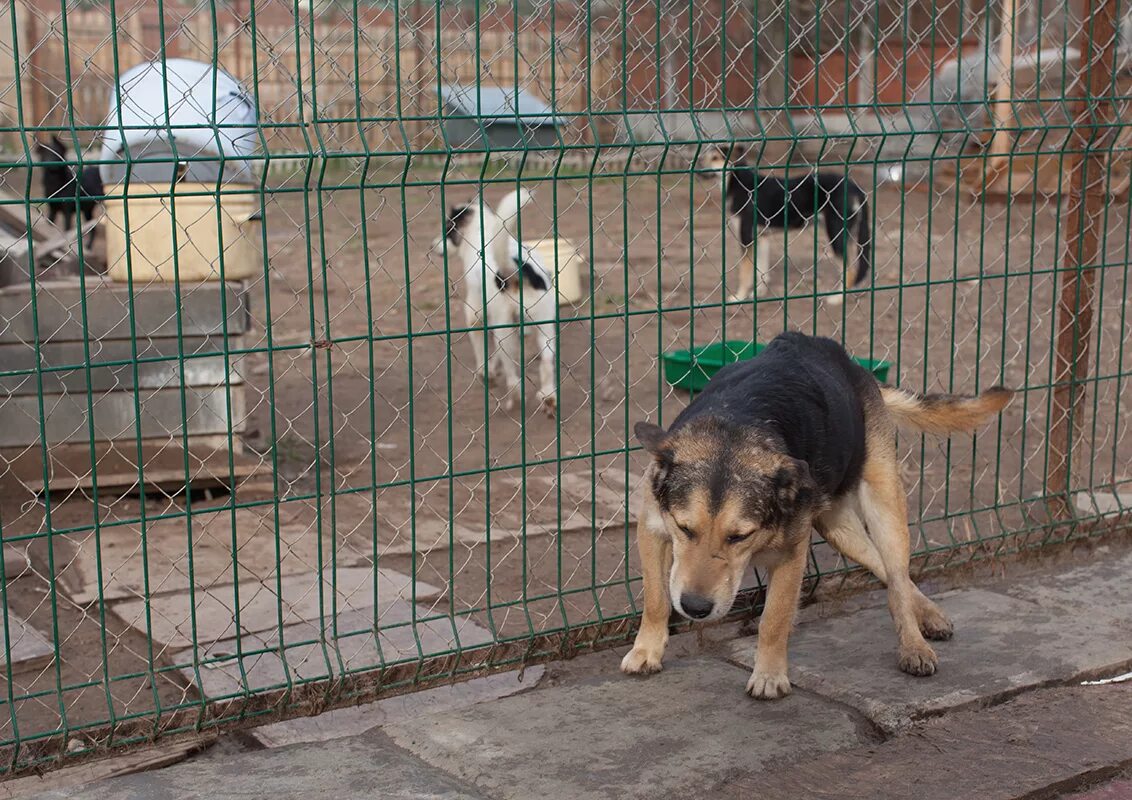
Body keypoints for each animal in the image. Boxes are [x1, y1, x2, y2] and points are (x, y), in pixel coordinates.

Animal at [432, 188, 556, 418]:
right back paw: (548, 398)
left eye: (447, 229)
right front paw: (492, 368)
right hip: (544, 326)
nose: (432, 246)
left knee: (514, 379)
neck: (484, 231)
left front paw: (486, 373)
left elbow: (482, 353)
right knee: (546, 363)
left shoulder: (475, 317)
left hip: (504, 330)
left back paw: (514, 400)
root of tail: (515, 267)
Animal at [624, 334, 1014, 697]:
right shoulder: (652, 529)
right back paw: (930, 614)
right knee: (888, 570)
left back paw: (914, 645)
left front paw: (769, 676)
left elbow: (774, 617)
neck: (735, 426)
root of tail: (848, 363)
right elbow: (656, 598)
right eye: (684, 528)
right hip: (838, 526)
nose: (694, 608)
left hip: (884, 504)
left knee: (897, 574)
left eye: (739, 536)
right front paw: (646, 651)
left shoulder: (791, 552)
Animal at [701, 145, 869, 305]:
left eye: (715, 158)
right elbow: (760, 271)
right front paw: (757, 294)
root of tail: (855, 187)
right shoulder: (762, 238)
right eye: (703, 157)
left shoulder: (746, 238)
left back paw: (838, 298)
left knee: (850, 271)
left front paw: (739, 297)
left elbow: (745, 273)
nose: (699, 171)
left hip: (836, 234)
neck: (738, 182)